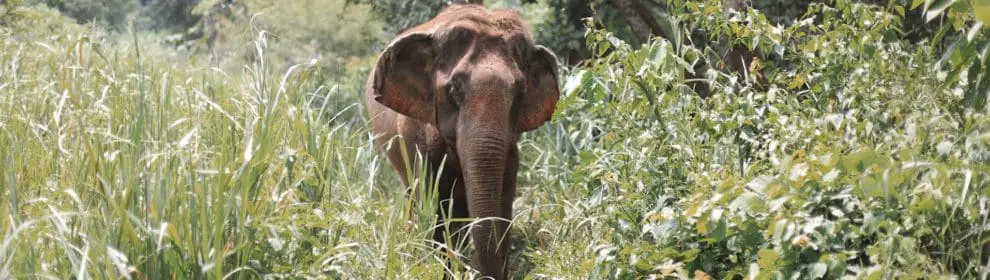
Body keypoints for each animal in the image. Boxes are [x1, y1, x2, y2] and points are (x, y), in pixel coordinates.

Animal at [366, 3, 564, 278]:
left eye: (520, 93)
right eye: (454, 90)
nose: (477, 270)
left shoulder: (511, 149)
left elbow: (503, 202)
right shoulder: (415, 134)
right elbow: (435, 203)